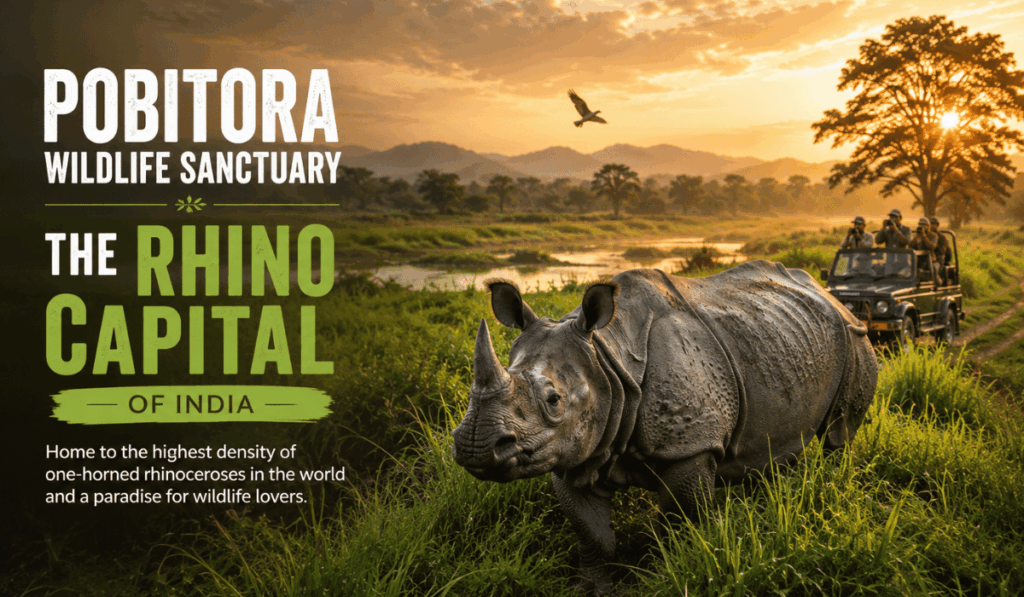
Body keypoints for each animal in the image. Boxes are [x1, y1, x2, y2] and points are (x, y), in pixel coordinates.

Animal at [451, 263, 878, 594]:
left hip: (855, 339)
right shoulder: (573, 452)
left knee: (837, 434)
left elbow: (677, 523)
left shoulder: (691, 446)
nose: (476, 447)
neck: (607, 357)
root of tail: (831, 295)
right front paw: (591, 589)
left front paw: (673, 570)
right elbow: (593, 534)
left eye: (553, 400)